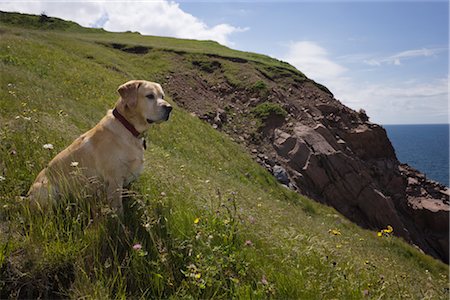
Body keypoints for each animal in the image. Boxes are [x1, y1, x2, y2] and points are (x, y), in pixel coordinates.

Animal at [27, 80, 172, 213]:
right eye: (150, 96)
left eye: (162, 96)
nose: (169, 108)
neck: (128, 128)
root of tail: (26, 197)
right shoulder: (114, 180)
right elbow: (118, 211)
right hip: (47, 190)